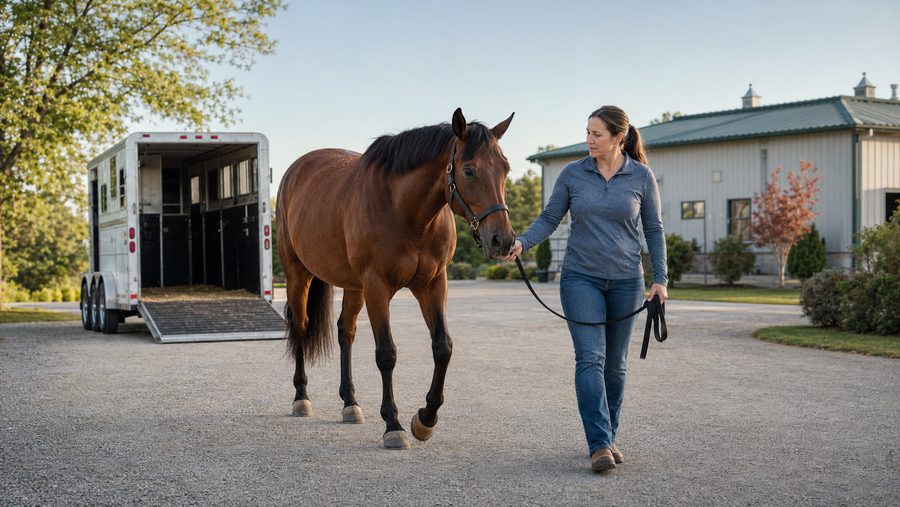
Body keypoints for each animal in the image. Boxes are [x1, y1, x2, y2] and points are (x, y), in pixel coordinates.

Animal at [276, 108, 516, 449]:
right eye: (469, 171)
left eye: (506, 168)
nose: (503, 240)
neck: (404, 210)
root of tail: (296, 171)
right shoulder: (377, 286)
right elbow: (386, 353)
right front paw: (393, 424)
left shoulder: (433, 284)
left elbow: (443, 347)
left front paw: (425, 418)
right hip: (298, 273)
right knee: (300, 326)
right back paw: (301, 398)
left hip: (353, 286)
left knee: (345, 332)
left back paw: (350, 403)